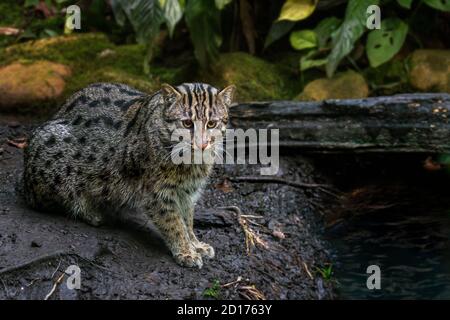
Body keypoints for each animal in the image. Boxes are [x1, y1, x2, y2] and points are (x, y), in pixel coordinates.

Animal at [22, 82, 236, 268]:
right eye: (187, 123)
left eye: (211, 123)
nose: (202, 144)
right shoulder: (156, 194)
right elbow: (174, 223)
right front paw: (185, 251)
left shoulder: (188, 192)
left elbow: (188, 221)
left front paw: (196, 244)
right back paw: (91, 212)